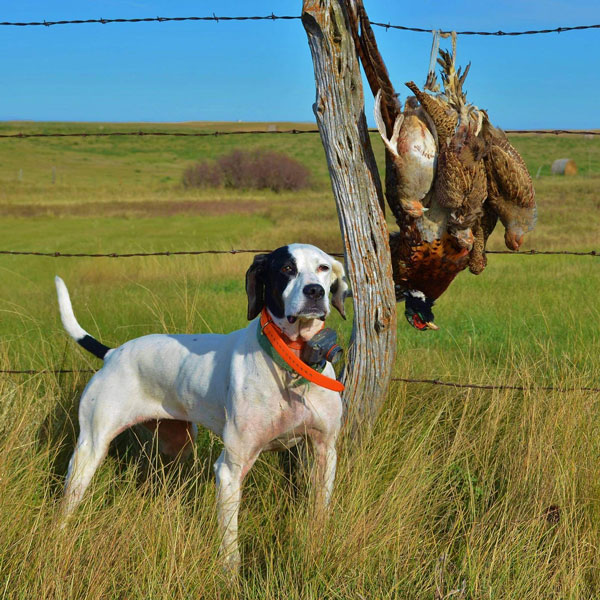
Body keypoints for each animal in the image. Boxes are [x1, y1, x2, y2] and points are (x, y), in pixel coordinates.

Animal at [57, 243, 346, 572]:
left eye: (323, 267)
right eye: (286, 268)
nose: (315, 291)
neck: (290, 361)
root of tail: (113, 353)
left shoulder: (325, 451)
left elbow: (320, 513)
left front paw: (316, 550)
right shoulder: (231, 469)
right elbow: (231, 547)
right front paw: (231, 577)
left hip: (178, 442)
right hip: (90, 450)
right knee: (69, 501)